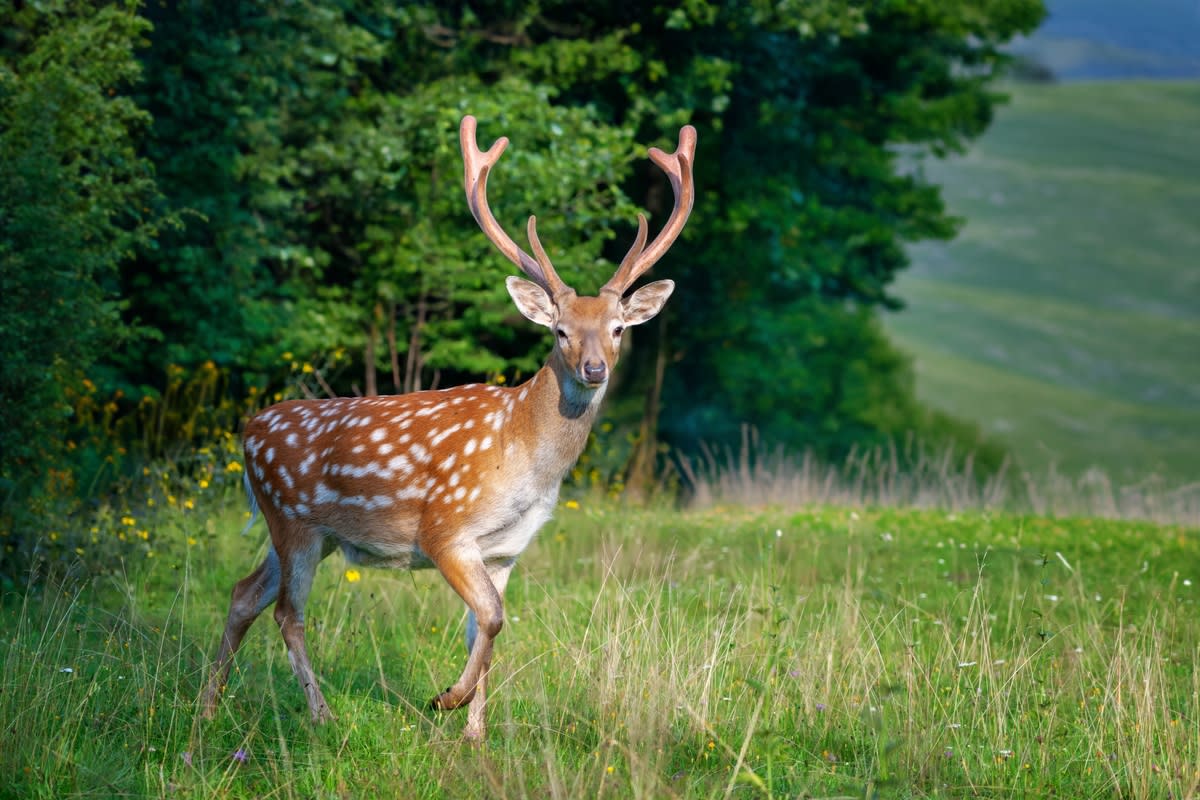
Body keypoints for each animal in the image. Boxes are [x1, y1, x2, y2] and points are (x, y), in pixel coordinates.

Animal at [201, 115, 700, 743]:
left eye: (617, 328)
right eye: (559, 330)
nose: (594, 369)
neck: (522, 454)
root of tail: (247, 430)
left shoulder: (506, 550)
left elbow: (485, 626)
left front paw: (475, 733)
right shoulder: (445, 528)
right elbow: (490, 617)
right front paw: (446, 701)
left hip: (302, 531)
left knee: (244, 594)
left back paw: (208, 708)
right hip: (294, 521)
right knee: (289, 613)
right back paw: (321, 716)